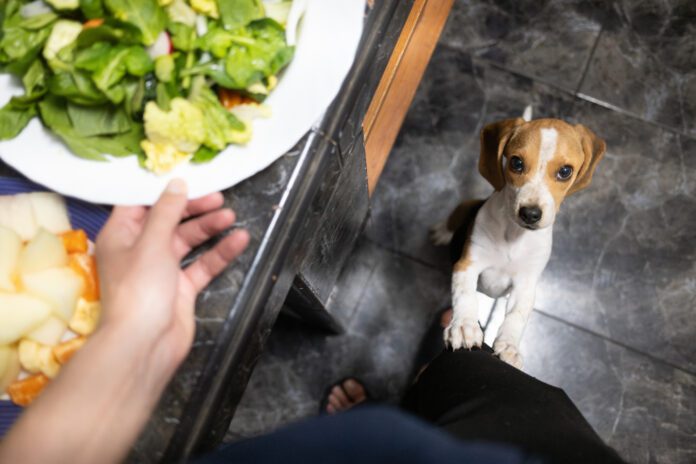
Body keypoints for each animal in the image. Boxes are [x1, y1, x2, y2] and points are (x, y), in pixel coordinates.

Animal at [432, 114, 608, 368]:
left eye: (565, 171)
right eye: (516, 163)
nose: (531, 214)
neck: (513, 235)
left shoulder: (525, 284)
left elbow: (517, 316)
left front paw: (509, 347)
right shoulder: (468, 265)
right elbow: (465, 295)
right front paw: (464, 326)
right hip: (467, 205)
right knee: (453, 218)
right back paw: (442, 232)